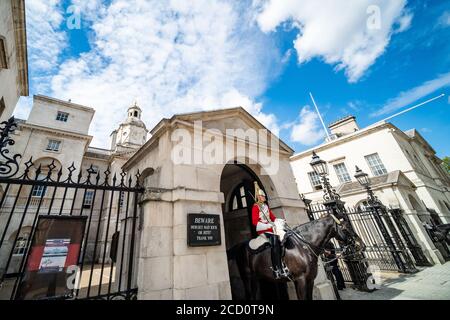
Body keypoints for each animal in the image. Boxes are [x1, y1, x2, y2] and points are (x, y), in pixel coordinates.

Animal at [229, 215, 366, 300]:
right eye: (345, 227)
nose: (362, 245)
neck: (304, 245)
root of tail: (241, 244)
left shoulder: (310, 280)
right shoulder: (300, 280)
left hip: (255, 278)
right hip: (247, 277)